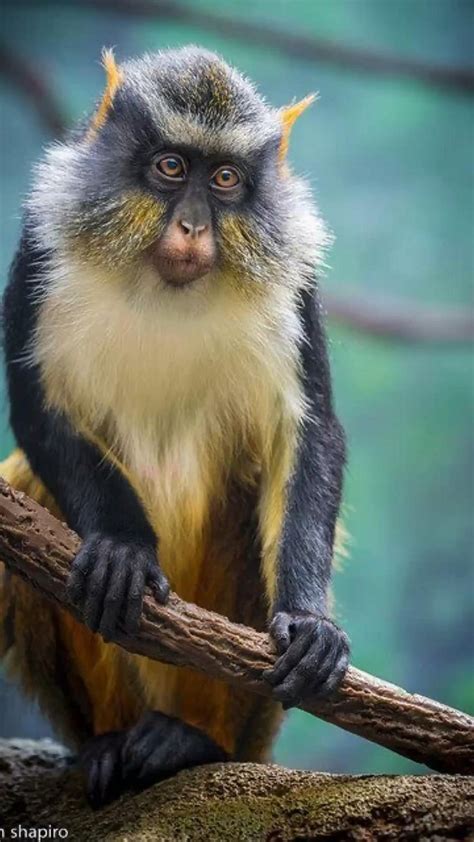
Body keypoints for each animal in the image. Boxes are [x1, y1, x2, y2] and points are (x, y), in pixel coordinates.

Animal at [0, 46, 349, 807]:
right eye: (169, 167)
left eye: (224, 179)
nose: (191, 226)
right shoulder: (41, 240)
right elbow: (35, 405)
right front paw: (122, 549)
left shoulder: (295, 274)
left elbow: (309, 430)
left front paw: (311, 620)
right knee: (29, 485)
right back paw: (108, 745)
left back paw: (188, 741)